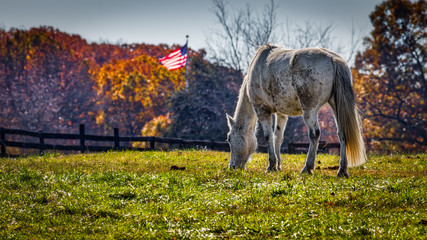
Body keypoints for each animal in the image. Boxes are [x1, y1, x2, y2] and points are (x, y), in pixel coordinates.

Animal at [227, 44, 368, 177]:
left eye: (229, 139)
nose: (232, 167)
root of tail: (333, 59)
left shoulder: (262, 110)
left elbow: (268, 137)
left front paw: (271, 165)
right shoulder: (281, 114)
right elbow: (278, 137)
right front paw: (278, 165)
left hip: (310, 110)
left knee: (314, 134)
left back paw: (308, 167)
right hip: (336, 106)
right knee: (342, 133)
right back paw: (342, 170)